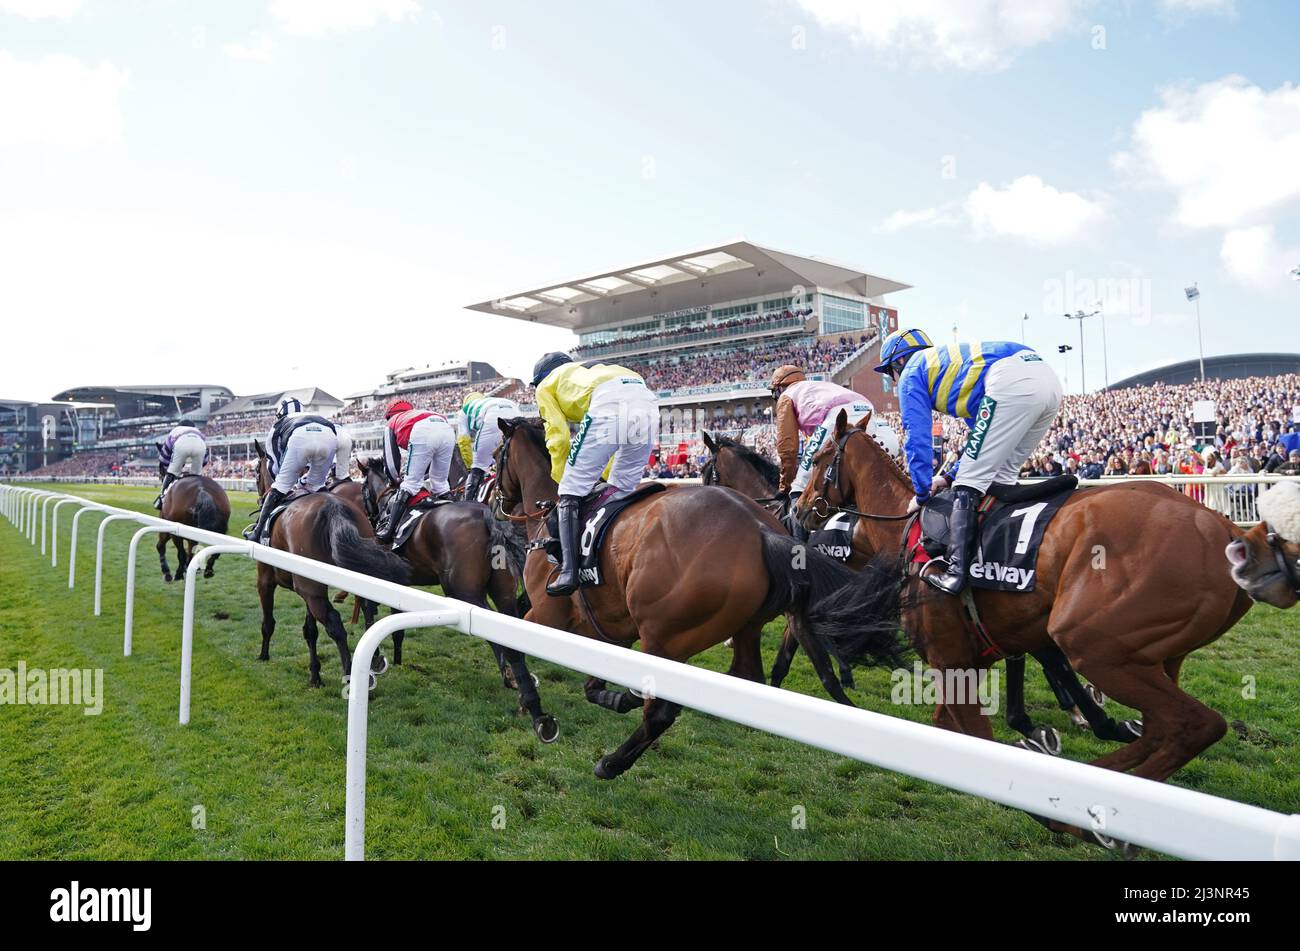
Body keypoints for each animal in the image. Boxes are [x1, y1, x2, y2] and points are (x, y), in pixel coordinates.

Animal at [250, 439, 408, 691]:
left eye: (256, 471)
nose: (259, 495)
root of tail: (335, 509)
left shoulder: (265, 579)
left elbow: (268, 622)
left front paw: (264, 655)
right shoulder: (310, 588)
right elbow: (310, 631)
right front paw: (315, 675)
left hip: (311, 587)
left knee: (335, 624)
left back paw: (352, 677)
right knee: (368, 609)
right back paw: (373, 660)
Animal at [358, 454, 556, 743]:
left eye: (362, 489)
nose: (371, 518)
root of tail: (487, 517)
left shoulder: (381, 573)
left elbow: (369, 608)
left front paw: (377, 659)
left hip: (463, 592)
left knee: (496, 636)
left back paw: (516, 685)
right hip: (502, 592)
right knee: (510, 637)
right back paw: (530, 700)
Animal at [488, 415, 904, 779]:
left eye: (495, 456)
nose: (494, 497)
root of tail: (761, 530)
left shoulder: (547, 616)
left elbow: (513, 643)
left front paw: (535, 709)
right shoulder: (611, 629)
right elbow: (594, 684)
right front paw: (616, 697)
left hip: (664, 634)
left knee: (663, 711)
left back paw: (612, 762)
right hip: (736, 626)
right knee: (739, 678)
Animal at [790, 413, 1258, 841]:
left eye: (819, 456)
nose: (797, 508)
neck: (905, 531)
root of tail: (1225, 530)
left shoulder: (953, 659)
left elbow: (981, 737)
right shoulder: (975, 656)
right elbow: (953, 723)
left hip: (1096, 647)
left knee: (1192, 725)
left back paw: (1074, 809)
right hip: (1155, 656)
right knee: (1164, 726)